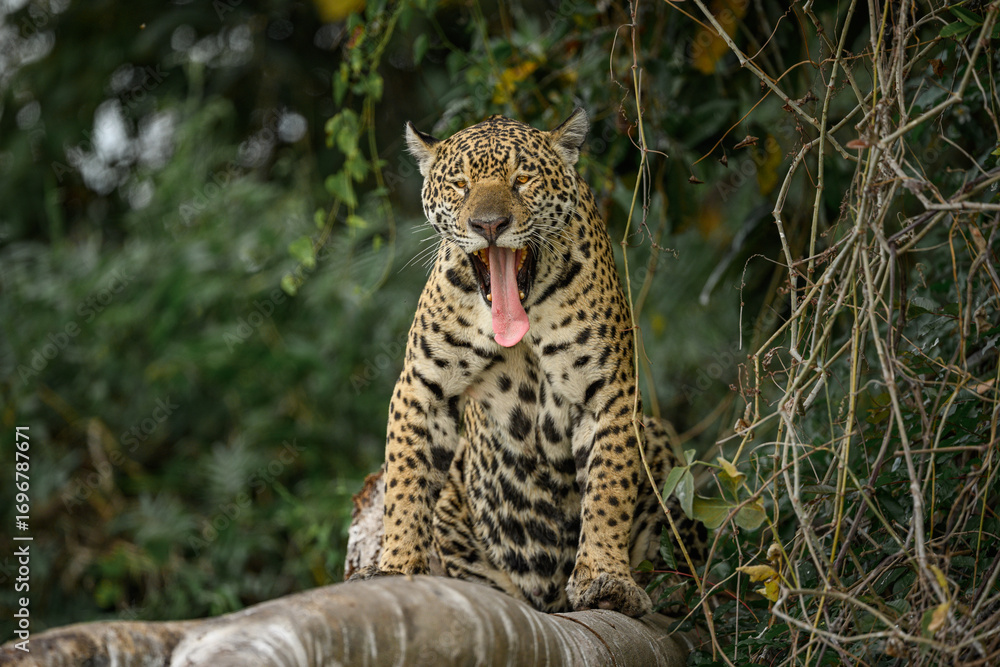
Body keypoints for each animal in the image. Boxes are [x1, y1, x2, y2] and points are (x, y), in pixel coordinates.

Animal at [355, 109, 705, 617]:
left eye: (522, 180)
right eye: (460, 185)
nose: (489, 225)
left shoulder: (610, 391)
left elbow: (609, 487)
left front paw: (607, 577)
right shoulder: (421, 387)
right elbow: (405, 485)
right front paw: (396, 565)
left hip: (661, 443)